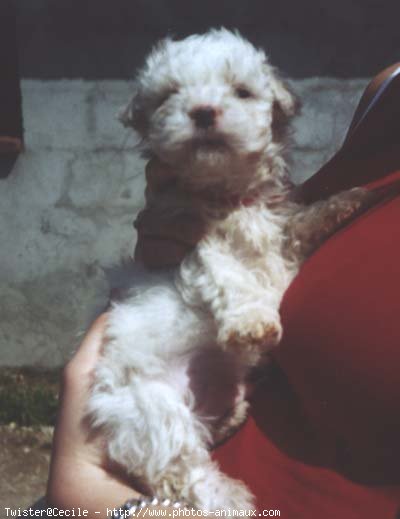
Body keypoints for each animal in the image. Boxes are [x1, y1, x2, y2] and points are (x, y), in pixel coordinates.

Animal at [87, 29, 372, 512]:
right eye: (170, 95)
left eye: (241, 92)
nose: (203, 111)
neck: (227, 195)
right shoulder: (193, 246)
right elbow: (230, 273)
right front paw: (252, 322)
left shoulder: (278, 229)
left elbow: (300, 224)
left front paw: (348, 200)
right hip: (151, 409)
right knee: (179, 469)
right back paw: (231, 500)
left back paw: (232, 416)